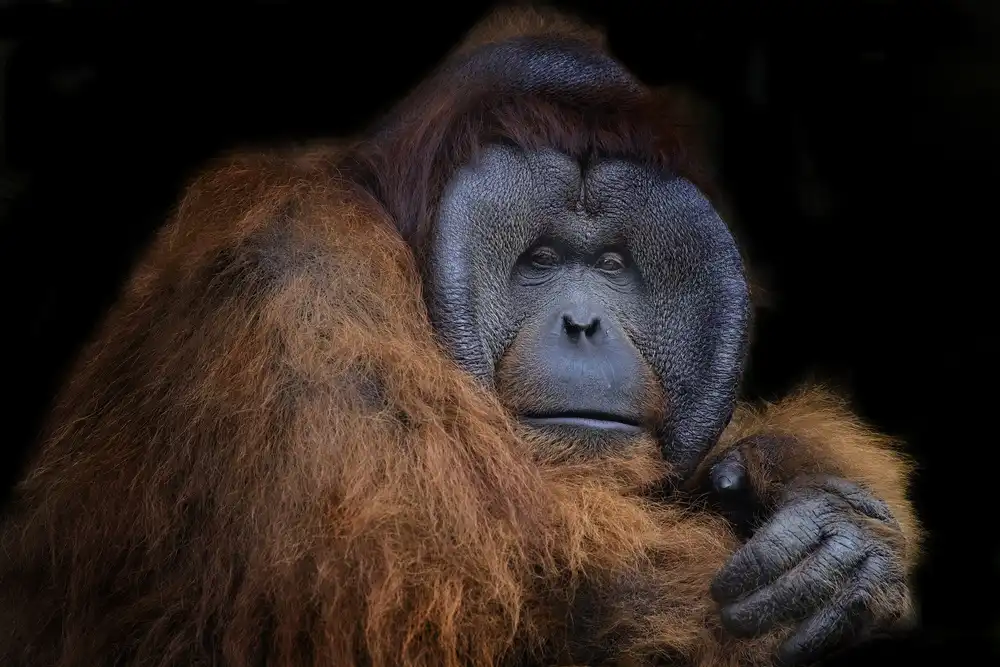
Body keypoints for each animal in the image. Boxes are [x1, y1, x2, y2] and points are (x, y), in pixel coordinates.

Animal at [0, 6, 921, 667]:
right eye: (540, 259)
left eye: (614, 264)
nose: (583, 322)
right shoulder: (298, 284)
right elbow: (488, 592)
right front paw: (831, 545)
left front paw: (823, 508)